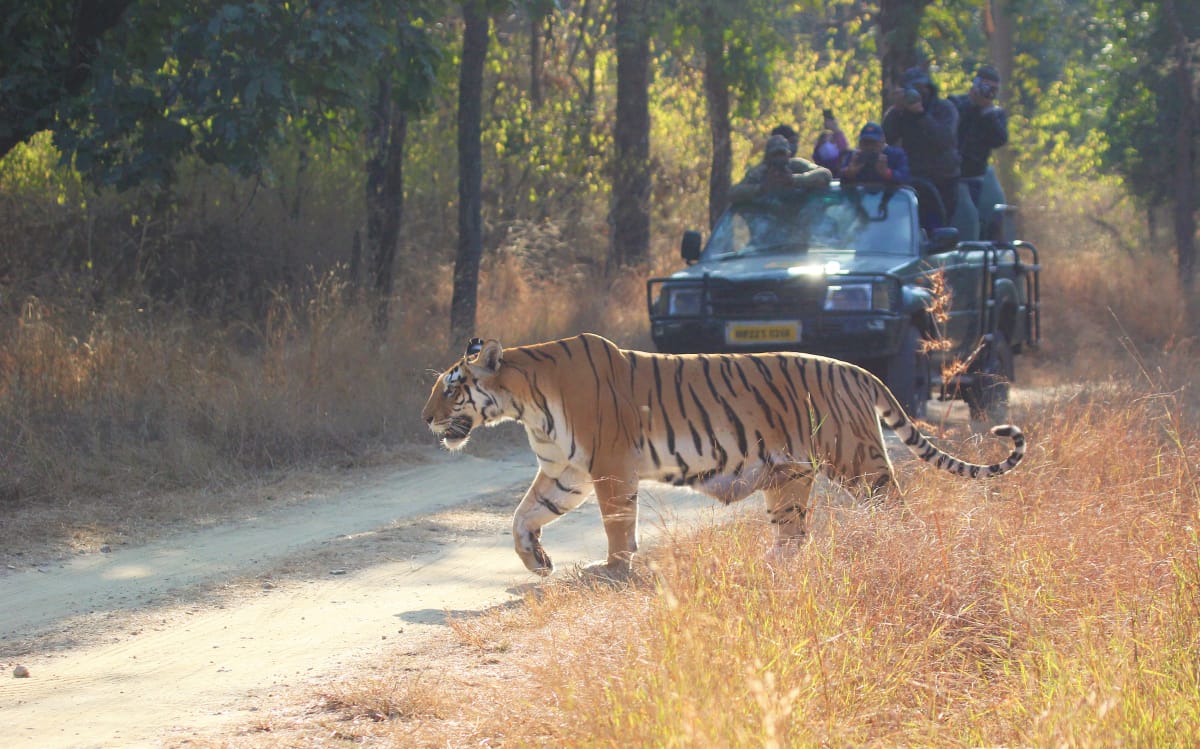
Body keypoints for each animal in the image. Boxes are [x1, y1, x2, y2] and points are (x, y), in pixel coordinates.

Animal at [420, 331, 1022, 576]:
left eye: (451, 388)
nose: (425, 420)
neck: (523, 401)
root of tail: (859, 370)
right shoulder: (565, 470)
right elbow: (522, 517)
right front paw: (536, 561)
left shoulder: (608, 466)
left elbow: (617, 524)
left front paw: (611, 569)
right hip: (788, 478)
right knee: (794, 536)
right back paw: (763, 567)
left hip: (858, 460)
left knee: (896, 507)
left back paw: (902, 548)